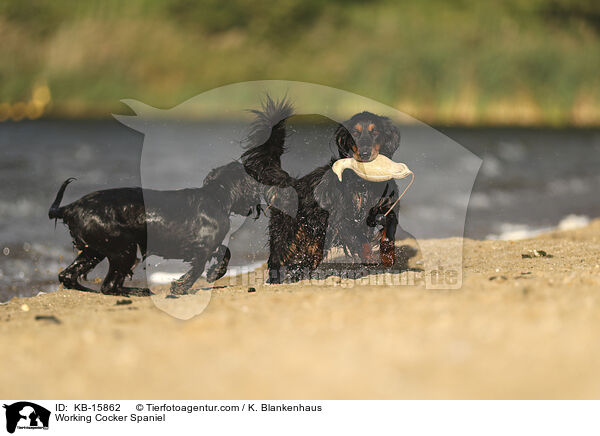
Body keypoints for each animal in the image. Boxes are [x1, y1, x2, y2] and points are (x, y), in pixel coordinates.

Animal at [48, 162, 262, 298]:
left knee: (68, 276)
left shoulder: (208, 246)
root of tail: (70, 208)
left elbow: (225, 252)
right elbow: (199, 267)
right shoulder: (200, 248)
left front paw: (213, 274)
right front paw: (180, 287)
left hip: (95, 250)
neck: (216, 196)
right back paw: (140, 292)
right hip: (123, 248)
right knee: (109, 286)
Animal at [241, 97, 400, 284]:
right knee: (277, 257)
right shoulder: (341, 218)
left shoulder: (387, 207)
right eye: (355, 133)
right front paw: (369, 257)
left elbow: (389, 231)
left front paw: (388, 257)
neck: (364, 183)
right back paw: (275, 280)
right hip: (286, 232)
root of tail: (293, 183)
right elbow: (360, 241)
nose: (365, 153)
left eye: (375, 132)